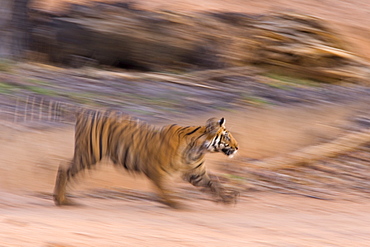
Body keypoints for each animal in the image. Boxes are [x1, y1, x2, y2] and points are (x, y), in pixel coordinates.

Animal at [53, 110, 240, 208]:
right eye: (227, 137)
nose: (237, 147)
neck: (198, 150)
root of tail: (84, 113)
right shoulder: (156, 169)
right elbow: (164, 188)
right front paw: (172, 202)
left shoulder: (196, 173)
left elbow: (214, 184)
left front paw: (227, 199)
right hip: (90, 154)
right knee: (64, 169)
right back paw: (61, 200)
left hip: (88, 156)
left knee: (68, 171)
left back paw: (64, 198)